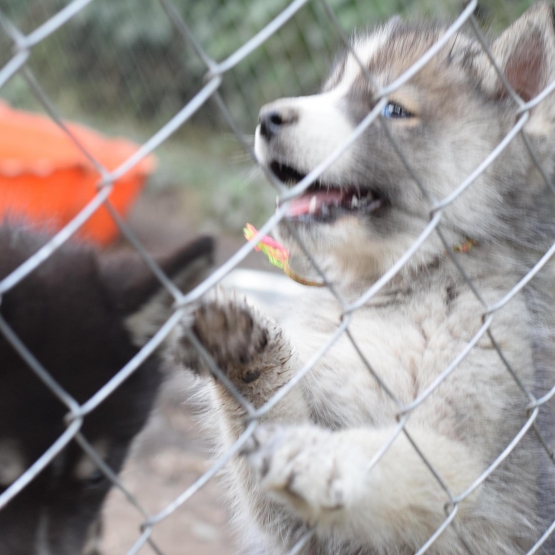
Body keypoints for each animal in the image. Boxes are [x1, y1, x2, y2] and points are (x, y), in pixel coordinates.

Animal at [190, 4, 555, 555]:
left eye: (394, 111)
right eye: (331, 89)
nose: (268, 117)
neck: (391, 283)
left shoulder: (476, 494)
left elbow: (401, 465)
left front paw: (327, 459)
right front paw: (246, 356)